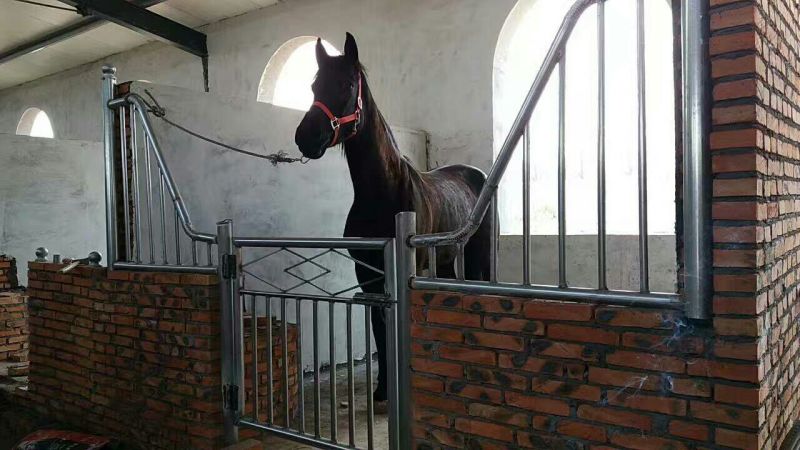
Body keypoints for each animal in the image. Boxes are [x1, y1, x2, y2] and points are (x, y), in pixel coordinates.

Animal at [295, 33, 491, 402]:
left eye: (346, 84)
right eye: (313, 85)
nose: (305, 138)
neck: (381, 194)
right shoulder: (369, 273)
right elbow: (379, 327)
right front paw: (383, 388)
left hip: (479, 254)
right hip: (445, 258)